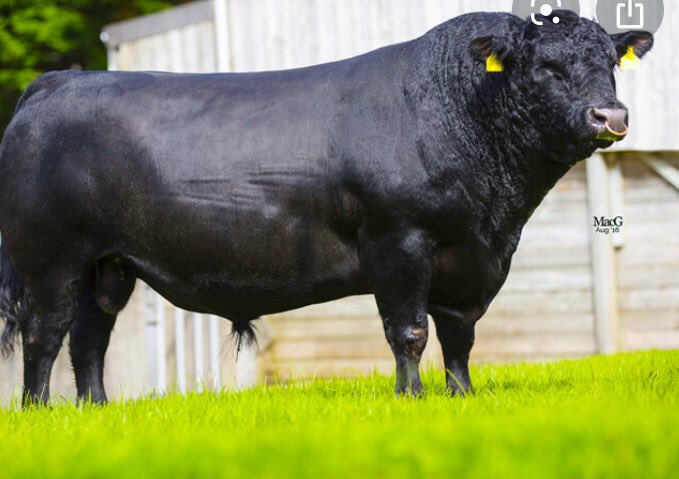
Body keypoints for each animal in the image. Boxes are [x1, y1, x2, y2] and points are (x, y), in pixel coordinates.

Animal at [0, 10, 653, 405]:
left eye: (610, 63)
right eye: (548, 66)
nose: (611, 116)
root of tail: (57, 83)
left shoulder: (473, 257)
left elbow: (460, 336)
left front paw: (462, 398)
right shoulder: (400, 241)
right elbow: (409, 330)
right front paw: (411, 399)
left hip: (106, 265)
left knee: (90, 338)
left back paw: (95, 410)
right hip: (50, 261)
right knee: (45, 333)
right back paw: (41, 410)